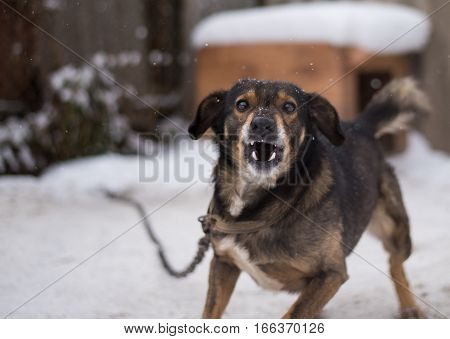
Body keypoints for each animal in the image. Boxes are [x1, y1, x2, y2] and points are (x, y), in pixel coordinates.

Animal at [187, 78, 428, 320]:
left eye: (289, 107)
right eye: (242, 104)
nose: (262, 124)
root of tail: (361, 127)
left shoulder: (331, 273)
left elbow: (292, 316)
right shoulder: (223, 263)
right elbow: (210, 313)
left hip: (394, 227)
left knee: (395, 262)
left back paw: (410, 307)